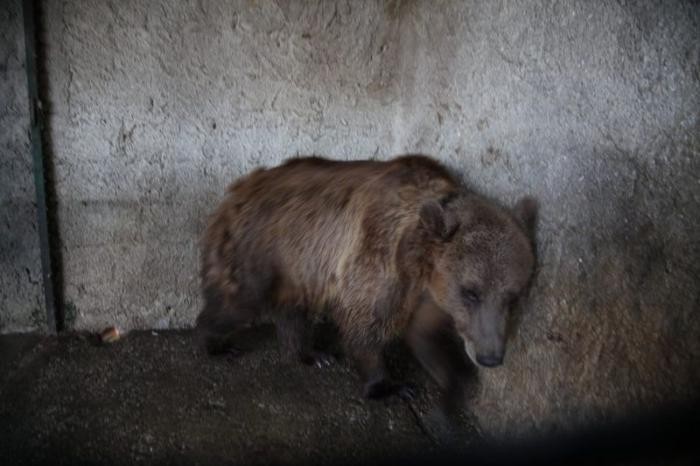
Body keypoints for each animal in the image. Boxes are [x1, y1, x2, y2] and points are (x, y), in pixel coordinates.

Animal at [194, 155, 540, 406]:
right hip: (261, 249)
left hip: (297, 265)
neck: (422, 267)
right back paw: (216, 340)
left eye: (513, 295)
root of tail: (239, 188)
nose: (490, 356)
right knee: (239, 300)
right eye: (471, 292)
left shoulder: (428, 296)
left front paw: (453, 379)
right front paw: (389, 386)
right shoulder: (381, 257)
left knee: (292, 309)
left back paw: (311, 354)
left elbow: (424, 334)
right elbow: (366, 324)